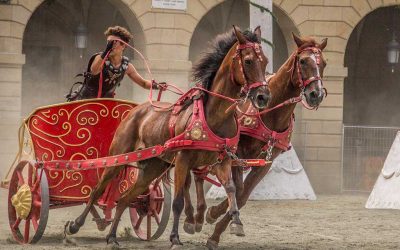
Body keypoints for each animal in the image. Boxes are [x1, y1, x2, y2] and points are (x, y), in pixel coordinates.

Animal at [63, 27, 268, 248]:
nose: (264, 96)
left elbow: (231, 189)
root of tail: (136, 110)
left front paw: (236, 222)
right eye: (248, 60)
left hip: (153, 166)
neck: (214, 115)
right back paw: (75, 225)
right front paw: (175, 237)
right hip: (118, 157)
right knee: (97, 190)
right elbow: (178, 201)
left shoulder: (223, 160)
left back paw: (112, 237)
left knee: (125, 199)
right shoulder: (183, 160)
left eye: (265, 61)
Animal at [183, 33, 326, 250]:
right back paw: (196, 216)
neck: (271, 111)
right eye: (302, 61)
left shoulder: (266, 162)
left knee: (201, 173)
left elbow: (242, 196)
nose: (316, 94)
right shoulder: (237, 153)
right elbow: (238, 189)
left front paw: (217, 226)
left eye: (323, 63)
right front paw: (216, 217)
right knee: (198, 173)